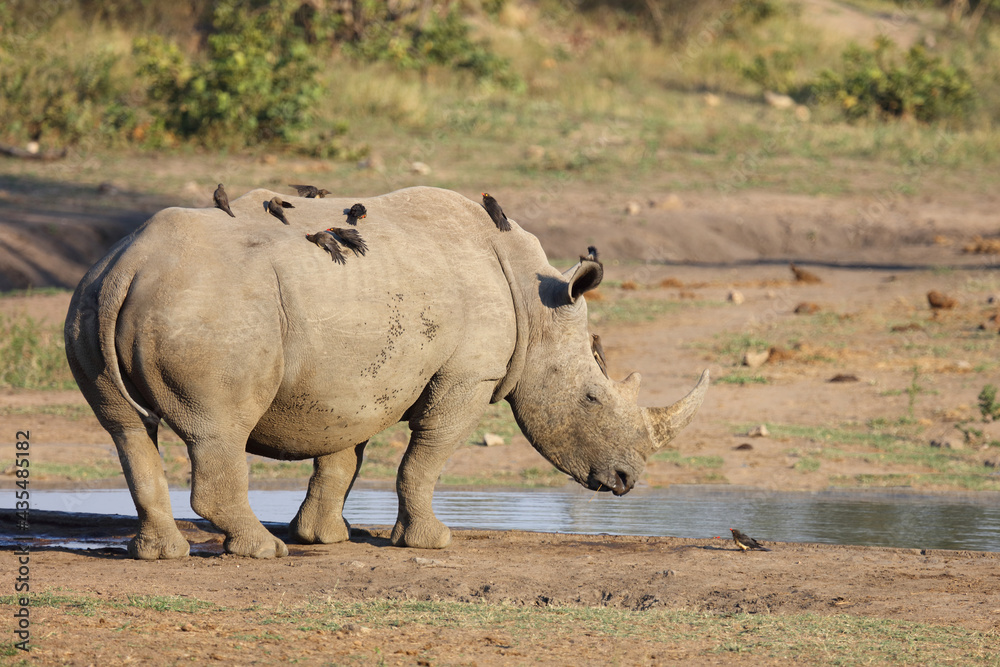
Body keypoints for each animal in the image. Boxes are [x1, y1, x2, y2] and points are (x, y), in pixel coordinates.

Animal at [64, 186, 708, 559]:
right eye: (593, 399)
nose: (627, 480)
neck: (536, 303)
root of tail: (129, 264)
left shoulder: (352, 378)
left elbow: (341, 456)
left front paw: (324, 538)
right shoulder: (468, 376)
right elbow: (425, 457)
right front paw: (433, 541)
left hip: (94, 299)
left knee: (126, 428)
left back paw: (161, 554)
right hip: (211, 311)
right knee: (217, 429)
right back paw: (261, 551)